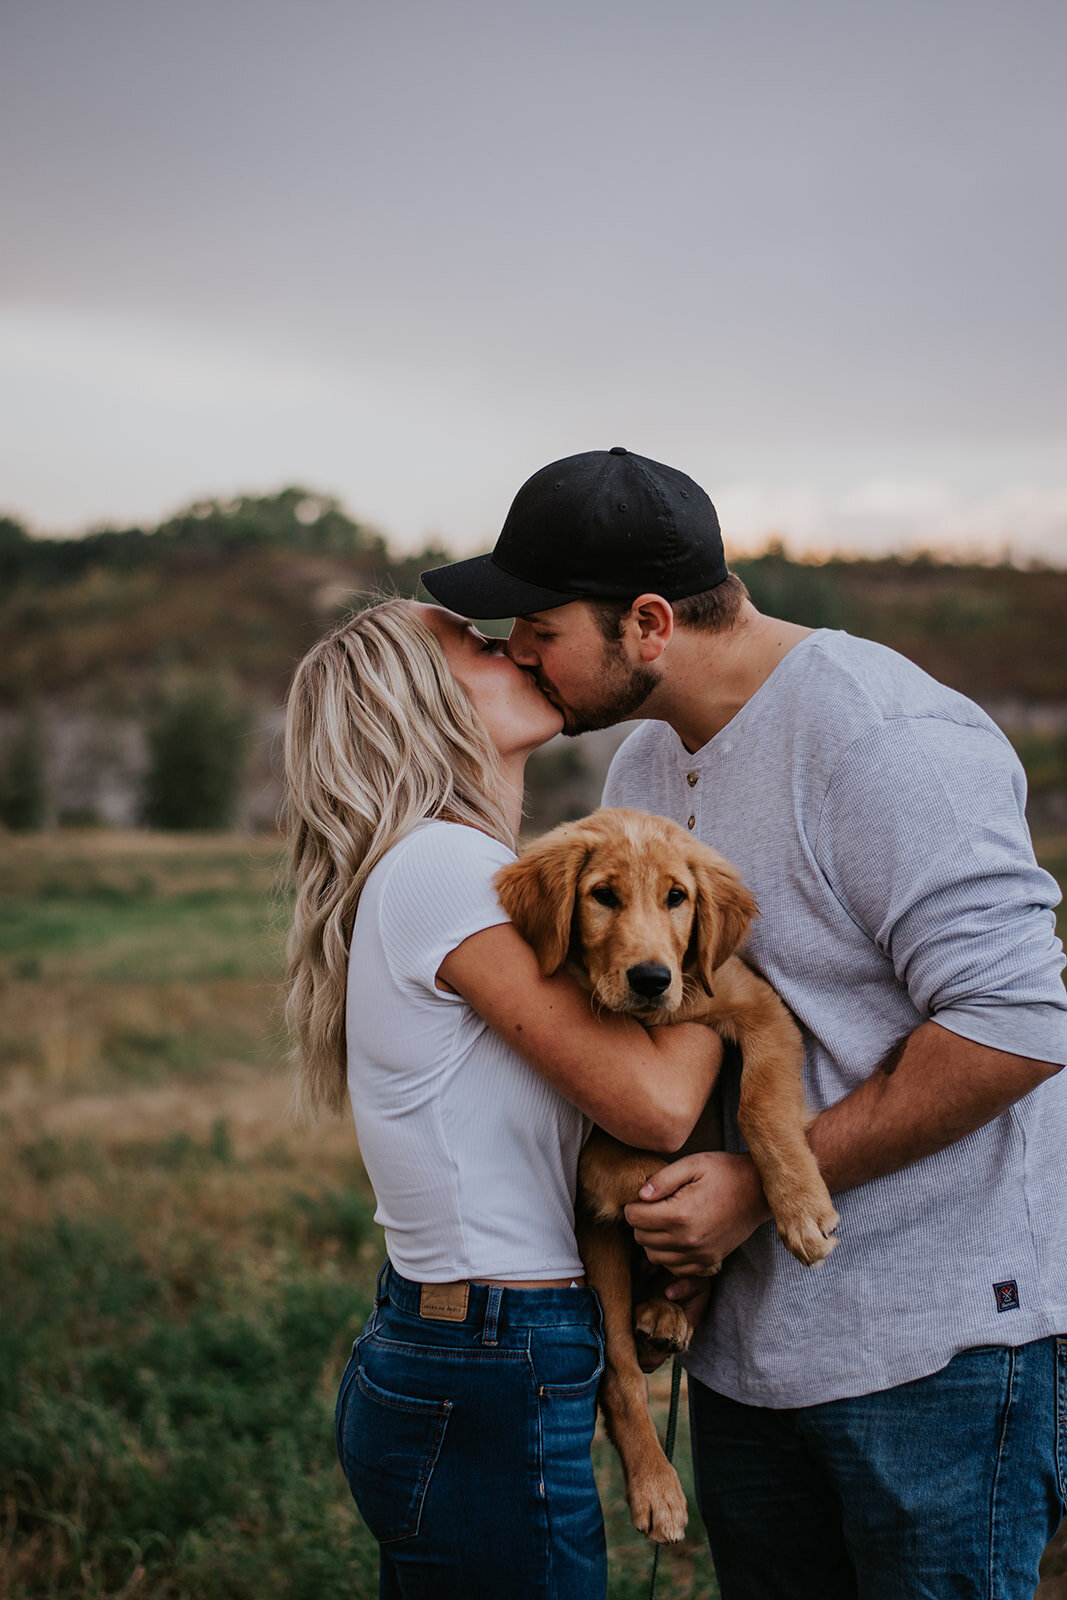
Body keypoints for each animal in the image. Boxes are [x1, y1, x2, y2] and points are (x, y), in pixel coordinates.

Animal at [495, 806, 838, 1542]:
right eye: (602, 896)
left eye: (677, 897)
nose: (652, 978)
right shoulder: (595, 1129)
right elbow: (621, 1167)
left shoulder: (756, 1005)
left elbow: (759, 1102)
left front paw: (800, 1208)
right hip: (598, 1268)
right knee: (621, 1370)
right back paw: (656, 1482)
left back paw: (666, 1312)